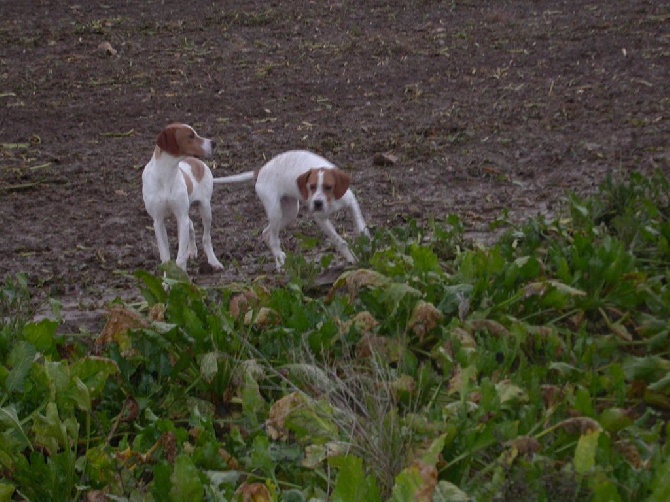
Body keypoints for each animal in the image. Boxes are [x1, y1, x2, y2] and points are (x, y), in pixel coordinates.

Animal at [142, 124, 224, 272]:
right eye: (190, 136)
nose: (213, 143)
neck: (166, 175)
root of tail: (197, 162)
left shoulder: (181, 216)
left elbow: (179, 260)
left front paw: (182, 276)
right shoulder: (158, 221)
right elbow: (166, 259)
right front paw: (168, 278)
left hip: (205, 209)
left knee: (206, 238)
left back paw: (213, 261)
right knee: (190, 225)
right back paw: (191, 251)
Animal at [215, 149, 370, 270]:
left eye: (328, 187)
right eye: (311, 187)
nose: (317, 203)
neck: (331, 201)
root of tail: (260, 171)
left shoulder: (351, 203)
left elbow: (361, 226)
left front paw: (368, 244)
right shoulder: (321, 219)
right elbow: (339, 241)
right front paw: (352, 258)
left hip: (290, 213)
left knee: (266, 233)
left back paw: (278, 255)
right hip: (275, 211)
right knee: (273, 238)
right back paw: (279, 262)